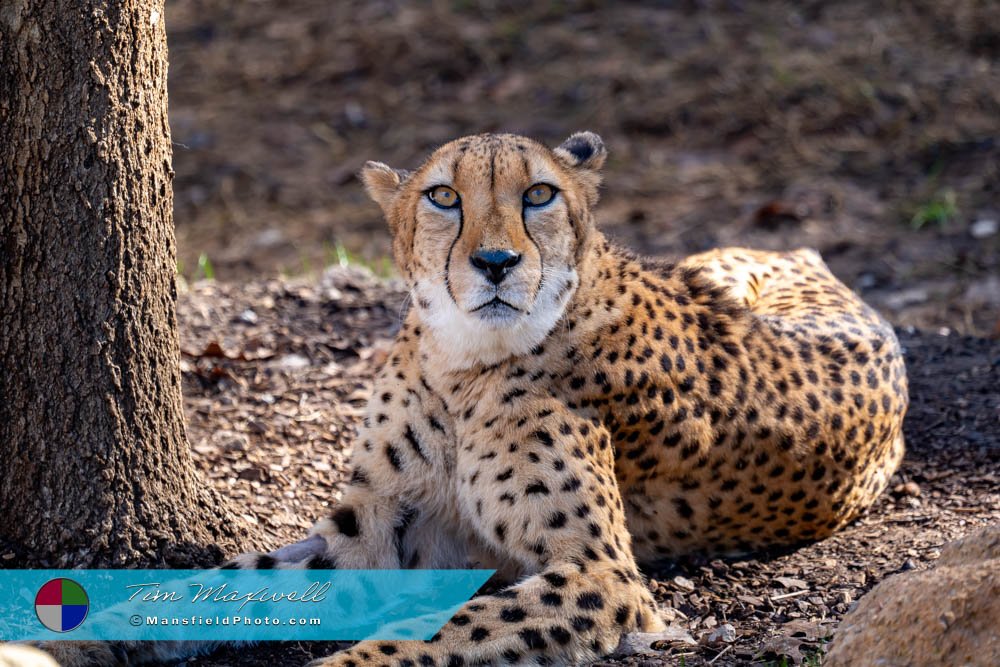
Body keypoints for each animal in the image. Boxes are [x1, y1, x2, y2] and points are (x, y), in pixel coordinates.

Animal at [45, 133, 908, 664]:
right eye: (442, 198)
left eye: (539, 194)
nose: (495, 262)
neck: (459, 359)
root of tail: (806, 251)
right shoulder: (370, 531)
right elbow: (212, 584)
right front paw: (70, 634)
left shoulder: (598, 572)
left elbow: (441, 629)